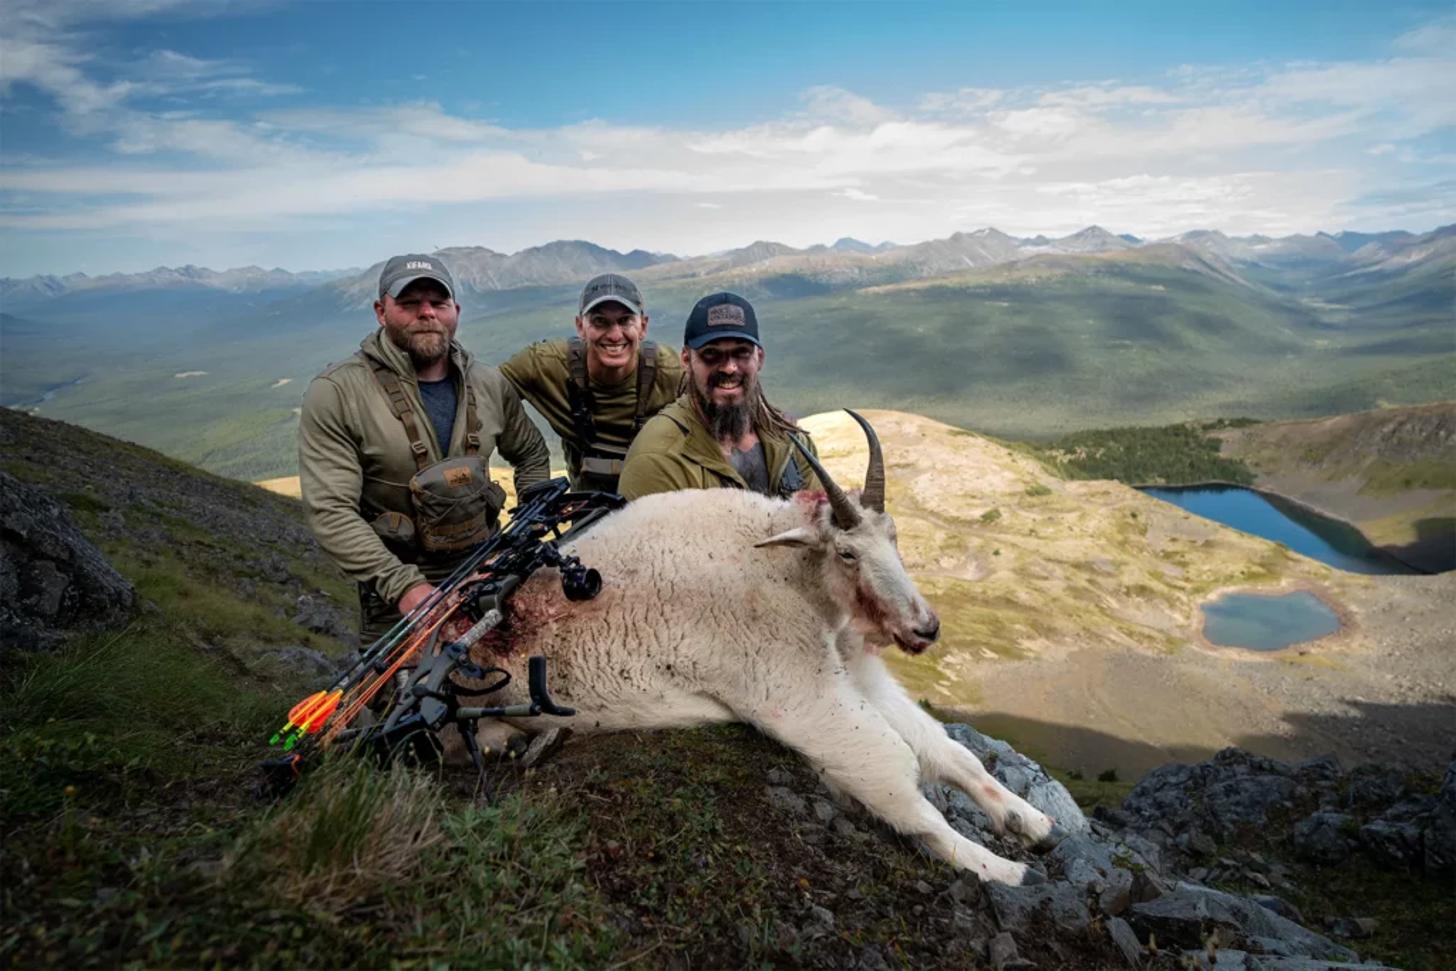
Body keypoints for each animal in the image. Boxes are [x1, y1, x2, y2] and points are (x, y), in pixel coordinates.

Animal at [464, 411, 1058, 885]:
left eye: (894, 535)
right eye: (846, 552)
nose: (925, 627)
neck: (787, 570)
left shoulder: (851, 674)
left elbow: (950, 753)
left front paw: (1031, 822)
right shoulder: (797, 693)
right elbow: (900, 783)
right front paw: (1002, 868)